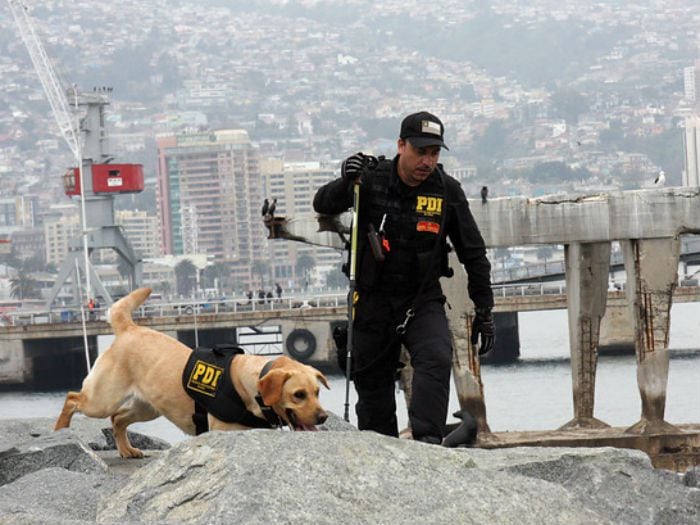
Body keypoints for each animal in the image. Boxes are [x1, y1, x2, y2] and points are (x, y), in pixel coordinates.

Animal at [54, 286, 328, 454]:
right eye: (299, 394)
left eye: (317, 392)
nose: (324, 417)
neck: (250, 388)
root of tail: (130, 327)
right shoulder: (222, 433)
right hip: (103, 399)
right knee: (73, 398)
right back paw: (60, 430)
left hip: (148, 407)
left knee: (118, 419)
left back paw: (126, 450)